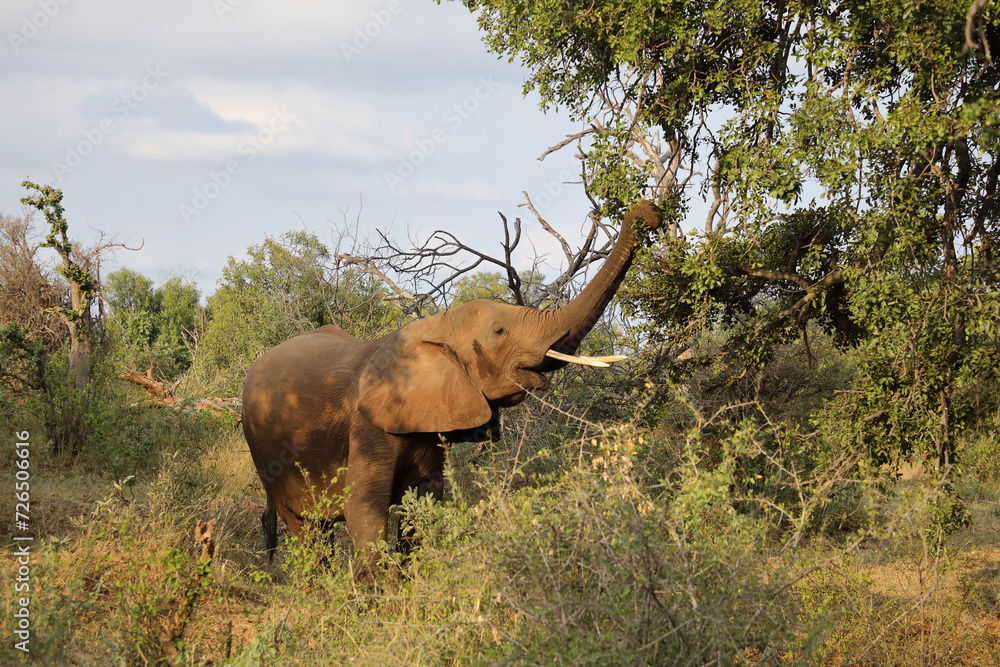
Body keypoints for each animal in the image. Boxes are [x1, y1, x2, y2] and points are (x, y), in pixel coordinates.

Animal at [241, 199, 662, 572]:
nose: (649, 210)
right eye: (499, 330)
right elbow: (364, 508)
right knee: (306, 529)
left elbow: (425, 501)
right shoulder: (368, 426)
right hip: (265, 454)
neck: (435, 327)